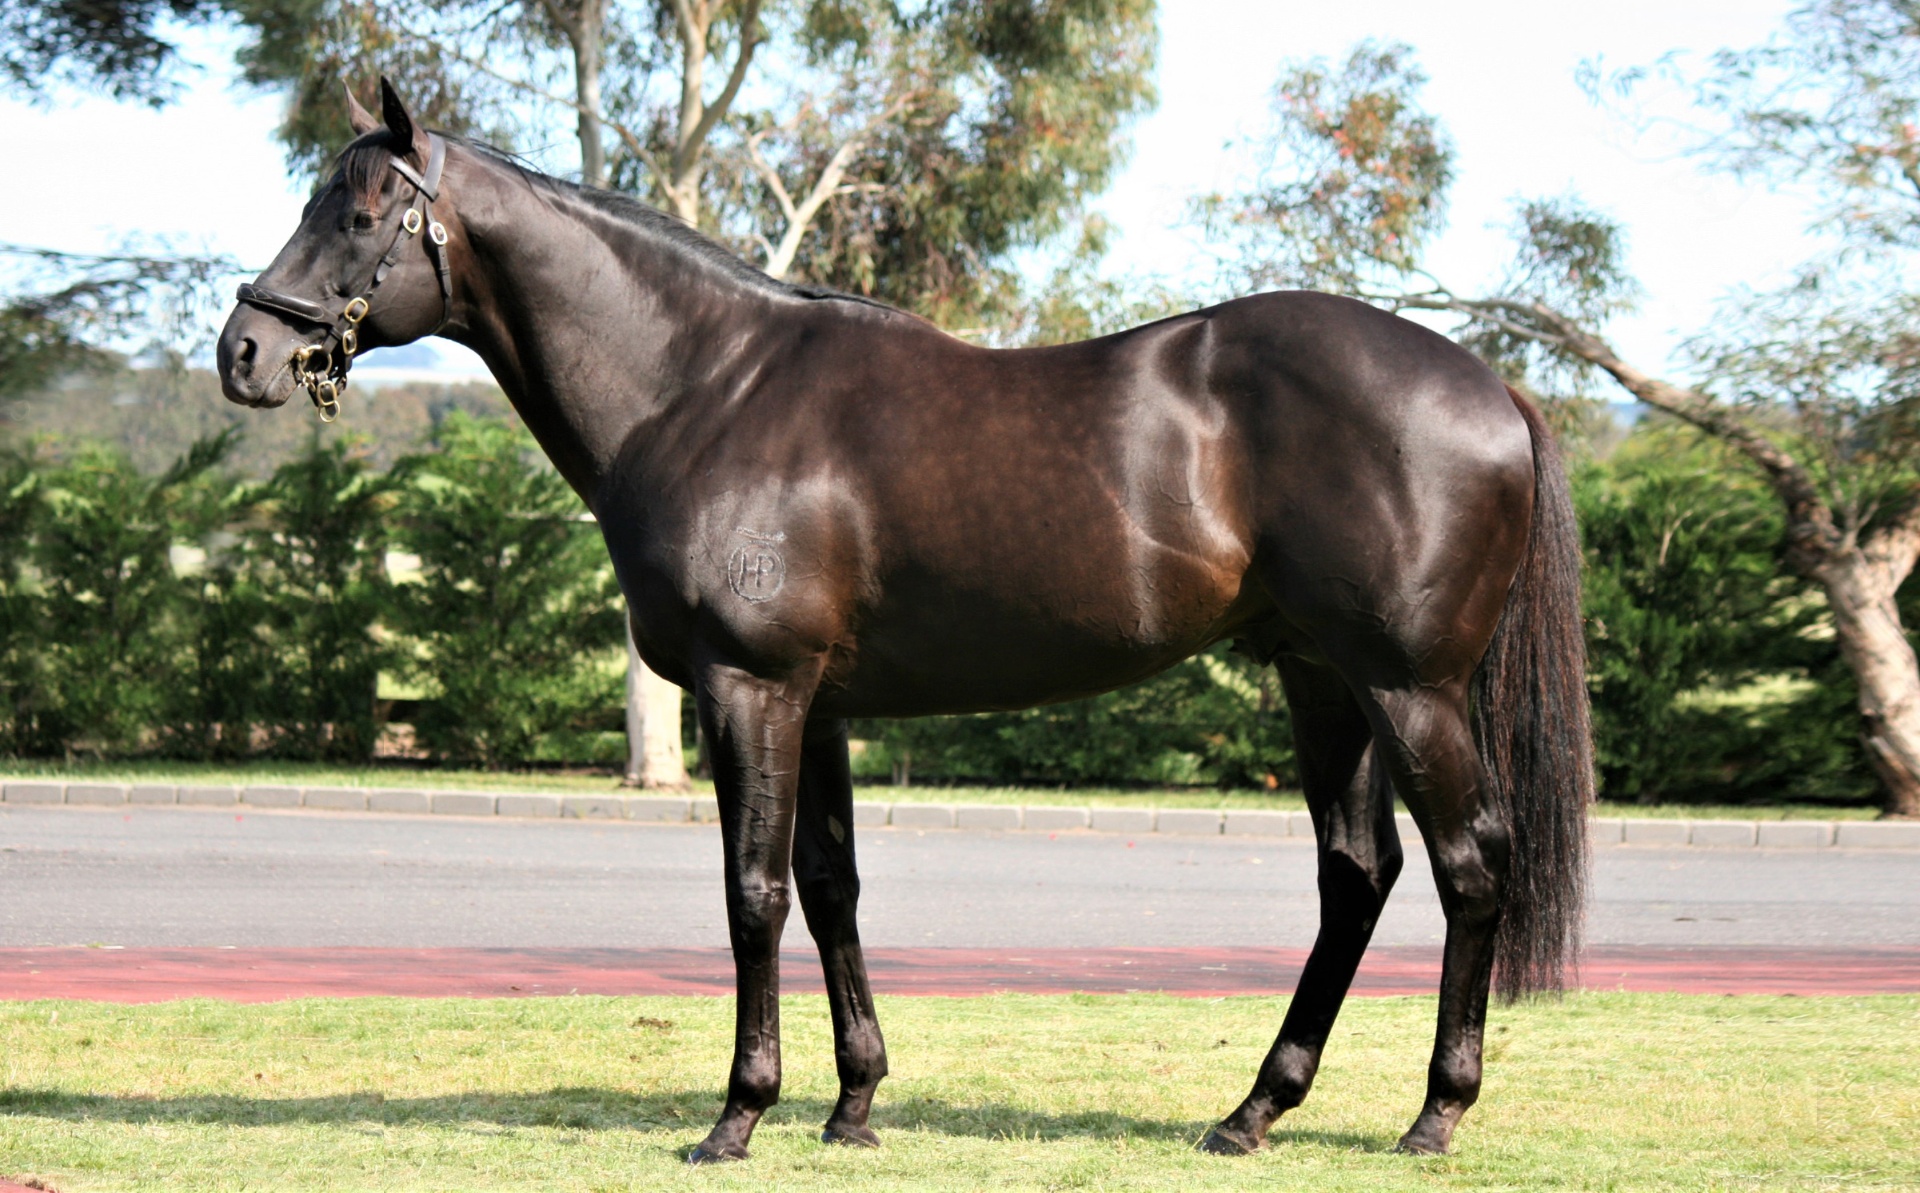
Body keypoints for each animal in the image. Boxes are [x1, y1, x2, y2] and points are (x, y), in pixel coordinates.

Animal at [217, 80, 1592, 1163]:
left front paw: (737, 1114)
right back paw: (1253, 1110)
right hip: (1322, 680)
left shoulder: (751, 688)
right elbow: (832, 886)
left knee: (1473, 864)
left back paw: (1434, 1113)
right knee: (1355, 874)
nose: (240, 351)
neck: (704, 388)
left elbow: (753, 892)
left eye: (356, 217)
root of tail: (1488, 384)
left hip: (1409, 688)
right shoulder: (816, 705)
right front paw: (853, 1104)